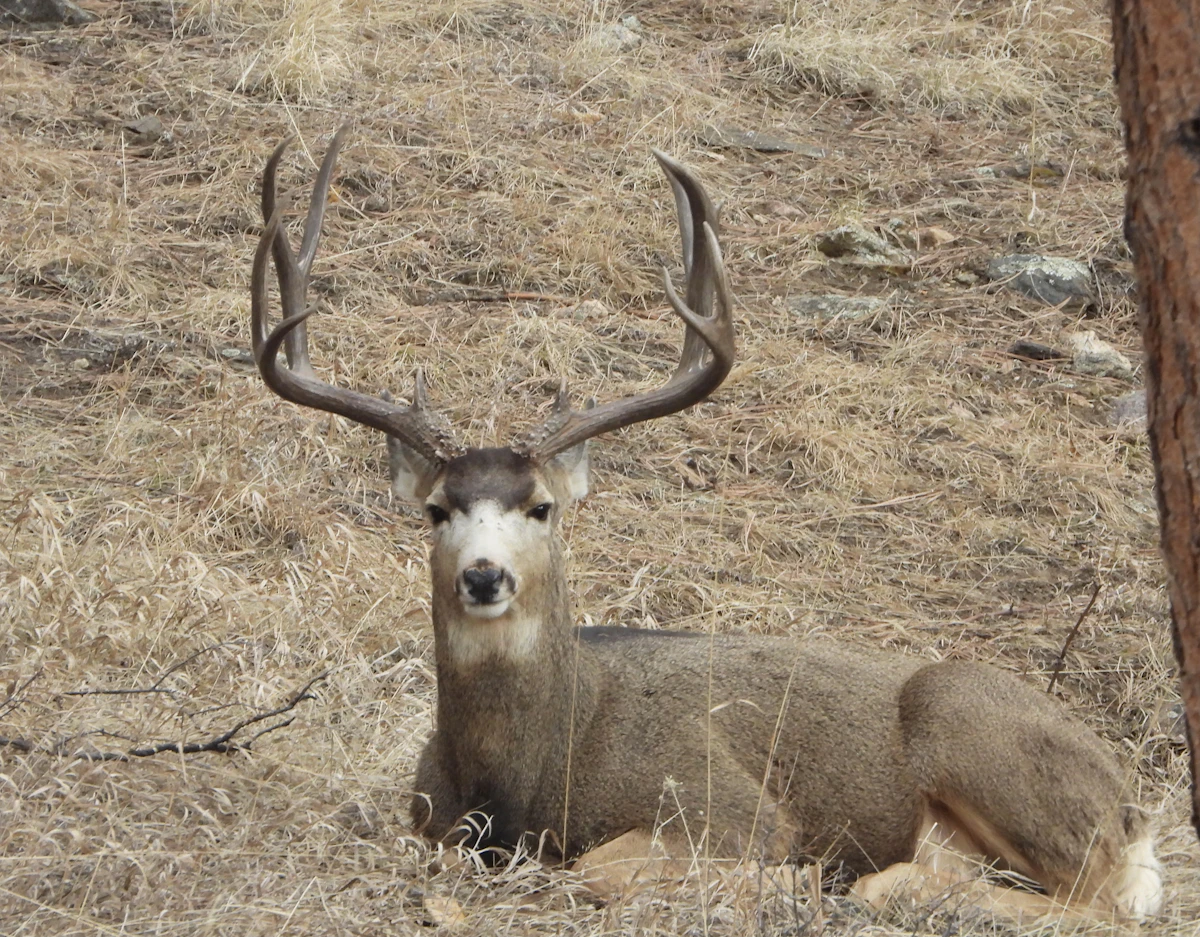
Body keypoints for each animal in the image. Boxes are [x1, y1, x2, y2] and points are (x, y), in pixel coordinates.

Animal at [249, 126, 1164, 924]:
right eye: (437, 510)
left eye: (541, 506)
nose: (483, 574)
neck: (530, 772)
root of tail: (1131, 803)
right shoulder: (427, 819)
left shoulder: (726, 803)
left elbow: (598, 865)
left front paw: (790, 879)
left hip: (969, 725)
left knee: (1103, 902)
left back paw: (875, 883)